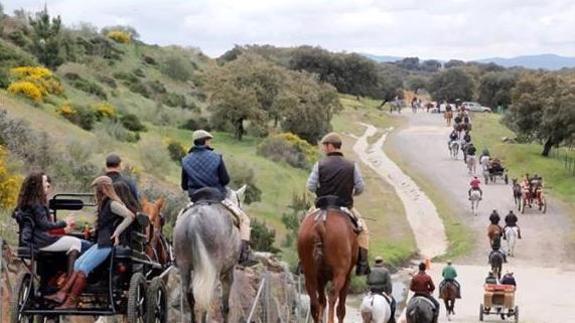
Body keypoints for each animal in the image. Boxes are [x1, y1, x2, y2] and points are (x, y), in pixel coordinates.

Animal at [176, 186, 248, 323]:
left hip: (185, 266)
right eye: (239, 202)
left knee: (190, 294)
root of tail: (195, 218)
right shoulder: (228, 274)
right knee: (205, 299)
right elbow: (225, 306)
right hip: (212, 272)